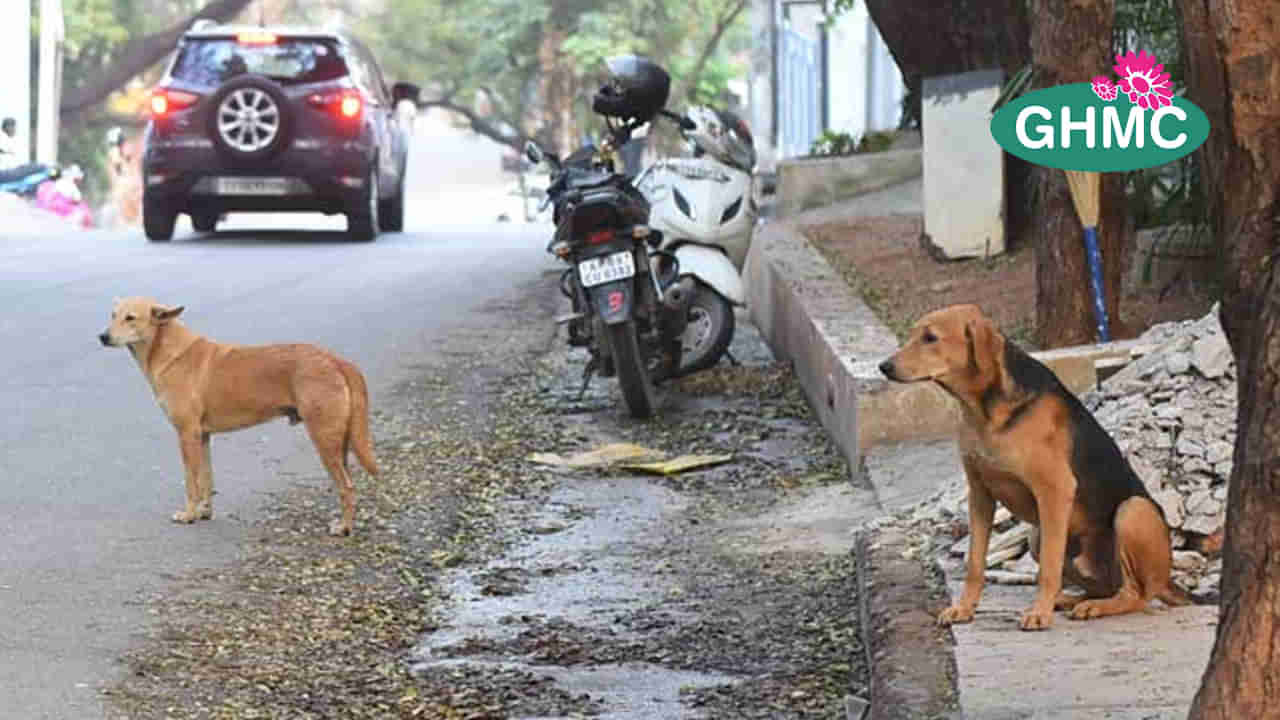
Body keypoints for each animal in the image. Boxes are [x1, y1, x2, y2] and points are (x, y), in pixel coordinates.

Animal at [97, 294, 376, 535]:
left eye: (130, 318)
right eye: (113, 315)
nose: (102, 336)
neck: (168, 350)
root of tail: (337, 360)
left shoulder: (187, 435)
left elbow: (191, 482)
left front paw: (188, 515)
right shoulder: (202, 437)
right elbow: (206, 479)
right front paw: (204, 512)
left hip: (324, 439)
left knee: (347, 487)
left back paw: (344, 528)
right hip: (340, 442)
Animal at [880, 302, 1187, 627]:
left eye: (930, 338)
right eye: (914, 334)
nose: (883, 367)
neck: (983, 410)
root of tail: (1167, 579)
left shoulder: (1054, 490)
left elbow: (1048, 570)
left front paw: (1039, 613)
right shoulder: (980, 494)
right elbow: (975, 563)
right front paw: (964, 608)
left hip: (1132, 511)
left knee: (1135, 595)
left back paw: (1094, 607)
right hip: (1036, 535)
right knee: (1104, 587)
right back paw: (1072, 600)